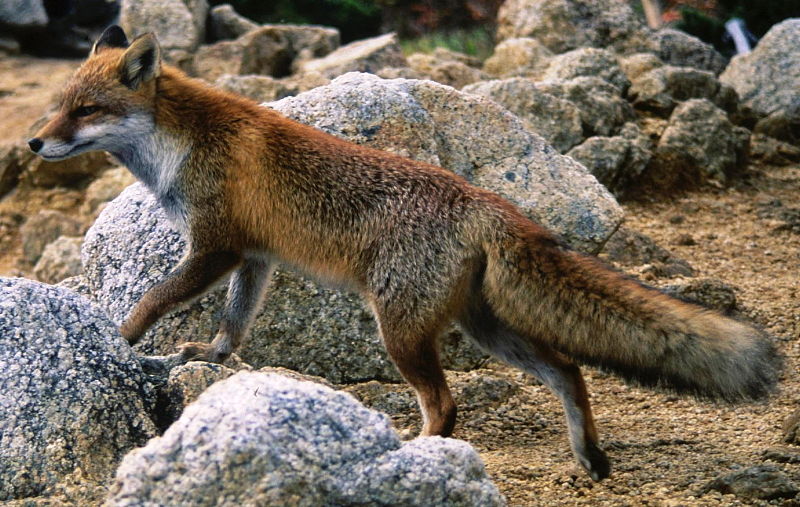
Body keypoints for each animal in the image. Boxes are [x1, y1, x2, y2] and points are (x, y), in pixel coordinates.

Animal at [29, 25, 780, 482]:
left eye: (87, 111)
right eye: (59, 105)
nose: (35, 143)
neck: (180, 143)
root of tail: (488, 202)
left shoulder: (216, 245)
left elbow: (154, 298)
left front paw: (120, 337)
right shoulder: (255, 256)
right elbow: (234, 322)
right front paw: (209, 357)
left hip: (400, 330)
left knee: (446, 404)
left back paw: (414, 454)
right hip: (485, 328)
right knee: (568, 370)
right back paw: (589, 457)